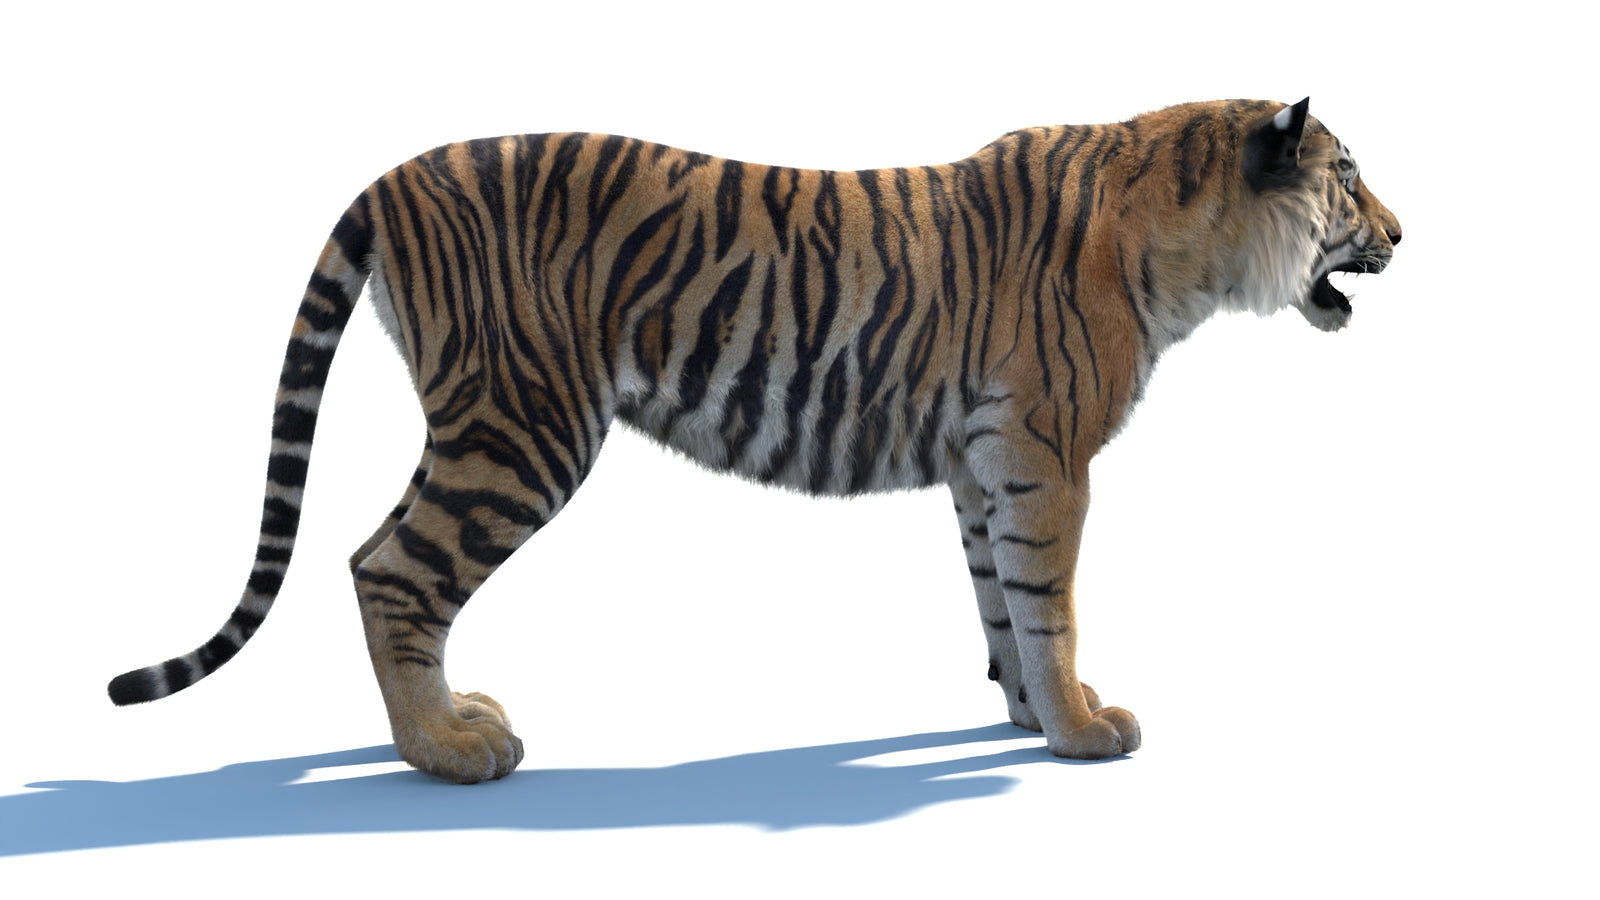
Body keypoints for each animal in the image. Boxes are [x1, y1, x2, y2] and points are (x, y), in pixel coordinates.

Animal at [108, 97, 1401, 783]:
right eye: (1348, 179)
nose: (1402, 231)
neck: (1192, 248)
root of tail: (389, 176)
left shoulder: (982, 465)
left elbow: (1002, 602)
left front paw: (1032, 716)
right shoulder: (1045, 455)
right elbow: (1054, 602)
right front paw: (1084, 730)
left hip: (481, 423)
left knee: (374, 556)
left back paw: (447, 722)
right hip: (520, 427)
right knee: (388, 569)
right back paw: (446, 751)